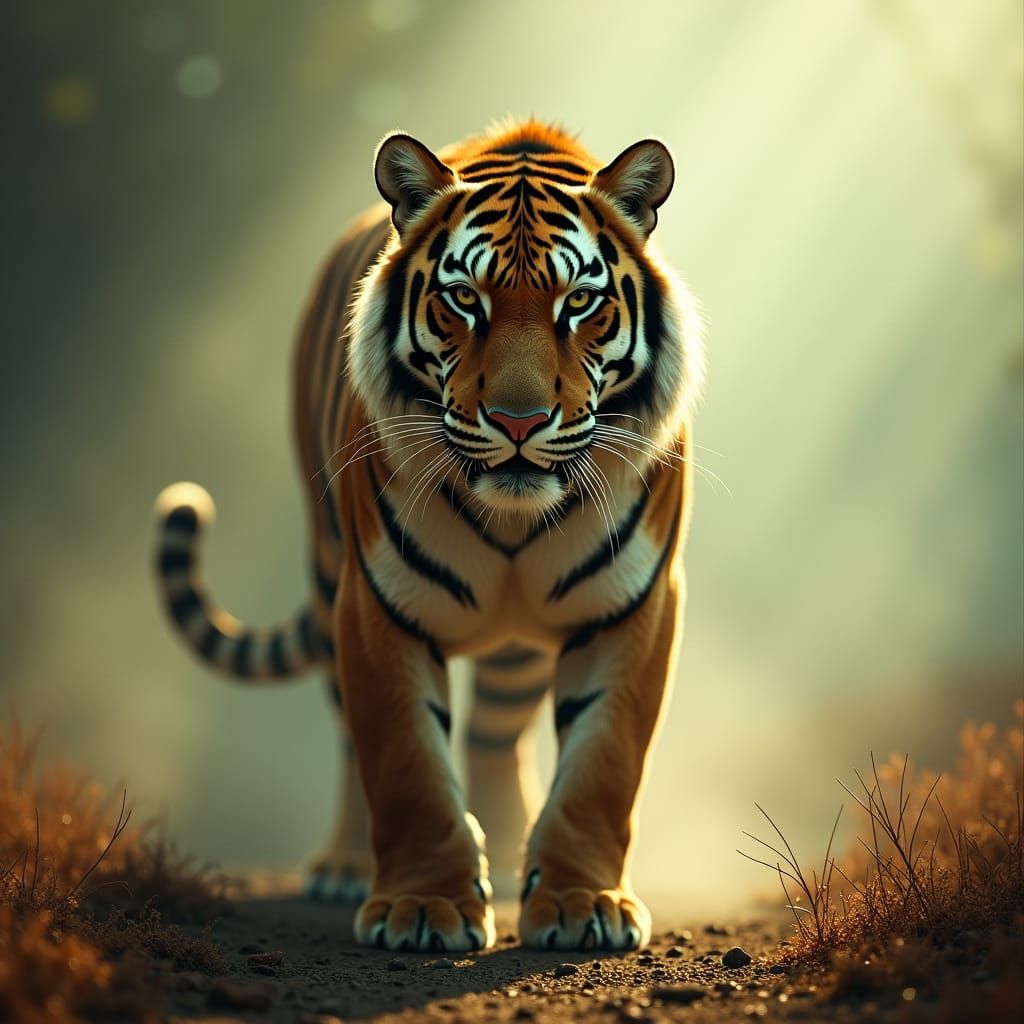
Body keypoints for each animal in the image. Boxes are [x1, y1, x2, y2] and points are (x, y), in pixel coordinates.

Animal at [154, 118, 704, 953]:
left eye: (579, 301)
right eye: (463, 299)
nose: (517, 421)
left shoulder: (634, 606)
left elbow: (603, 763)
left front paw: (583, 902)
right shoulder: (378, 602)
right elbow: (404, 757)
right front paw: (422, 908)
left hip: (516, 653)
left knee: (493, 733)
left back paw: (507, 858)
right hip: (330, 575)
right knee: (352, 738)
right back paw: (347, 868)